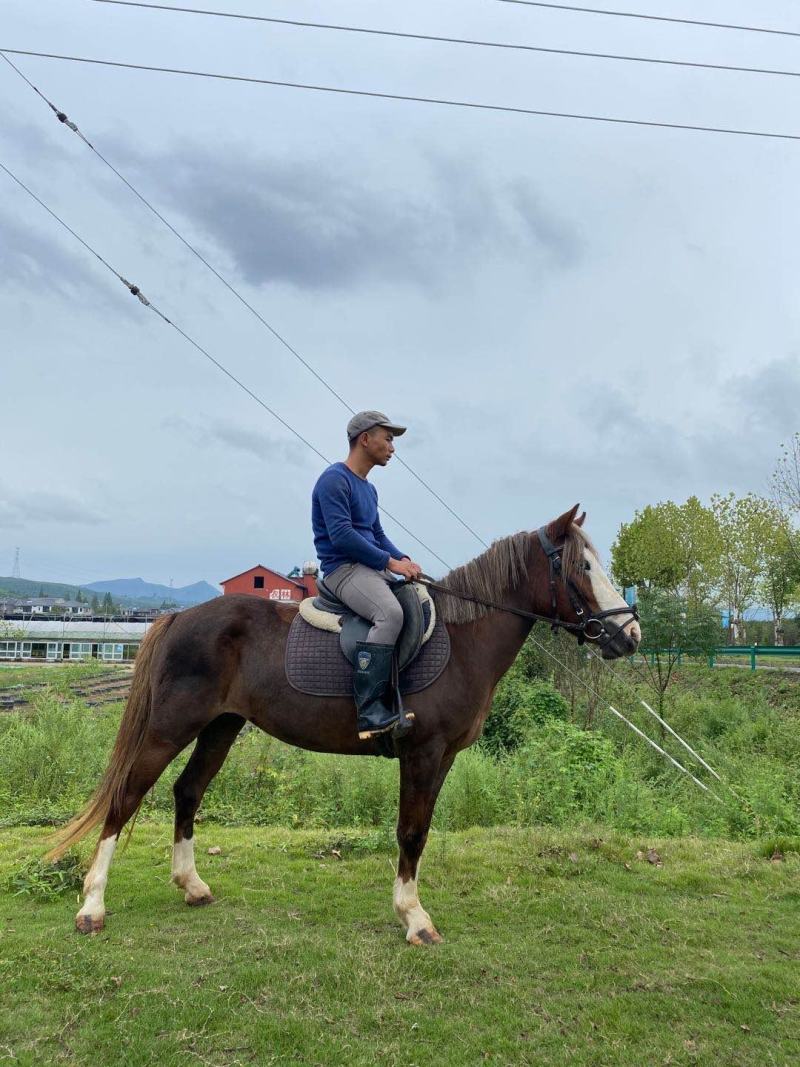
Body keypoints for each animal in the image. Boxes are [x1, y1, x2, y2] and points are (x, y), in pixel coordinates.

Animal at [49, 504, 640, 944]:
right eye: (583, 567)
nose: (630, 634)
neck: (463, 637)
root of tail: (177, 617)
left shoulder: (442, 756)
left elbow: (420, 832)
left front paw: (410, 907)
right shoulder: (422, 751)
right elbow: (410, 831)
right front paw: (414, 918)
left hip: (221, 727)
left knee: (187, 792)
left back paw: (191, 885)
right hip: (171, 727)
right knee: (126, 796)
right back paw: (93, 906)